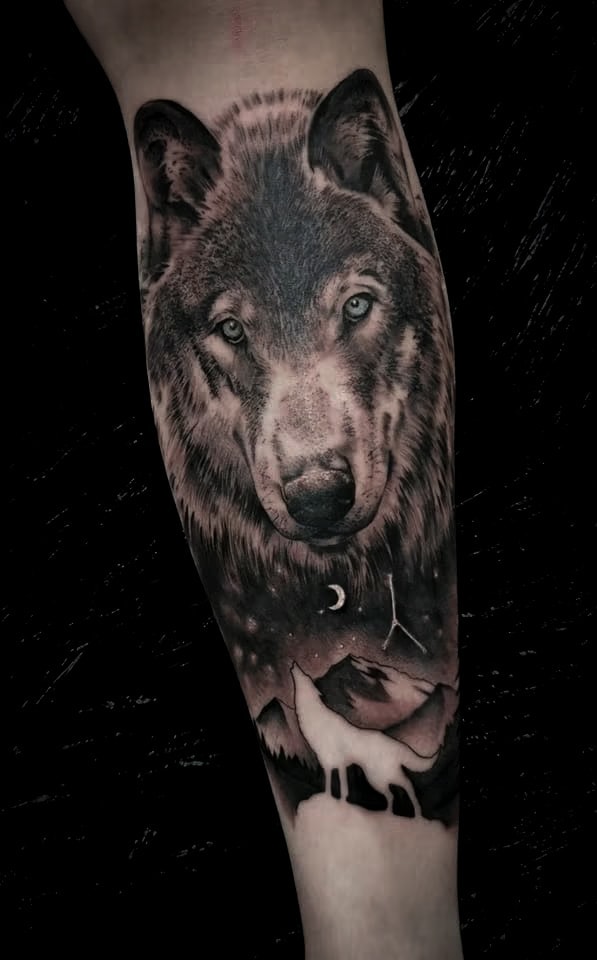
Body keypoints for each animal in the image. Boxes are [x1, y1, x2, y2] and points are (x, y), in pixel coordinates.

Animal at [291, 662, 438, 817]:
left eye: (305, 675)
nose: (294, 664)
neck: (314, 717)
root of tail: (395, 744)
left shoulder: (335, 762)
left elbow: (337, 786)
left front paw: (336, 801)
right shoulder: (331, 763)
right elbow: (333, 785)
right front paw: (334, 800)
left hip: (379, 777)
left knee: (406, 785)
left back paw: (414, 812)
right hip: (381, 778)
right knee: (393, 793)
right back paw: (389, 813)